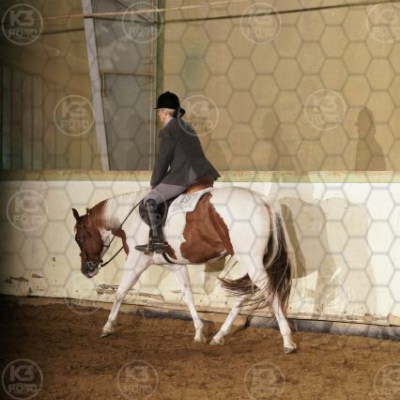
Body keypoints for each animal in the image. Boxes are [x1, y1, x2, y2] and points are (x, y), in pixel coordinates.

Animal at [72, 186, 298, 353]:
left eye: (79, 238)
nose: (86, 270)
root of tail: (263, 200)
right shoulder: (175, 265)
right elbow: (187, 296)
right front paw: (199, 332)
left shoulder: (137, 261)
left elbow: (120, 292)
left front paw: (108, 326)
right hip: (252, 260)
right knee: (248, 292)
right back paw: (219, 336)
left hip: (250, 259)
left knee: (268, 290)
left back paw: (287, 341)